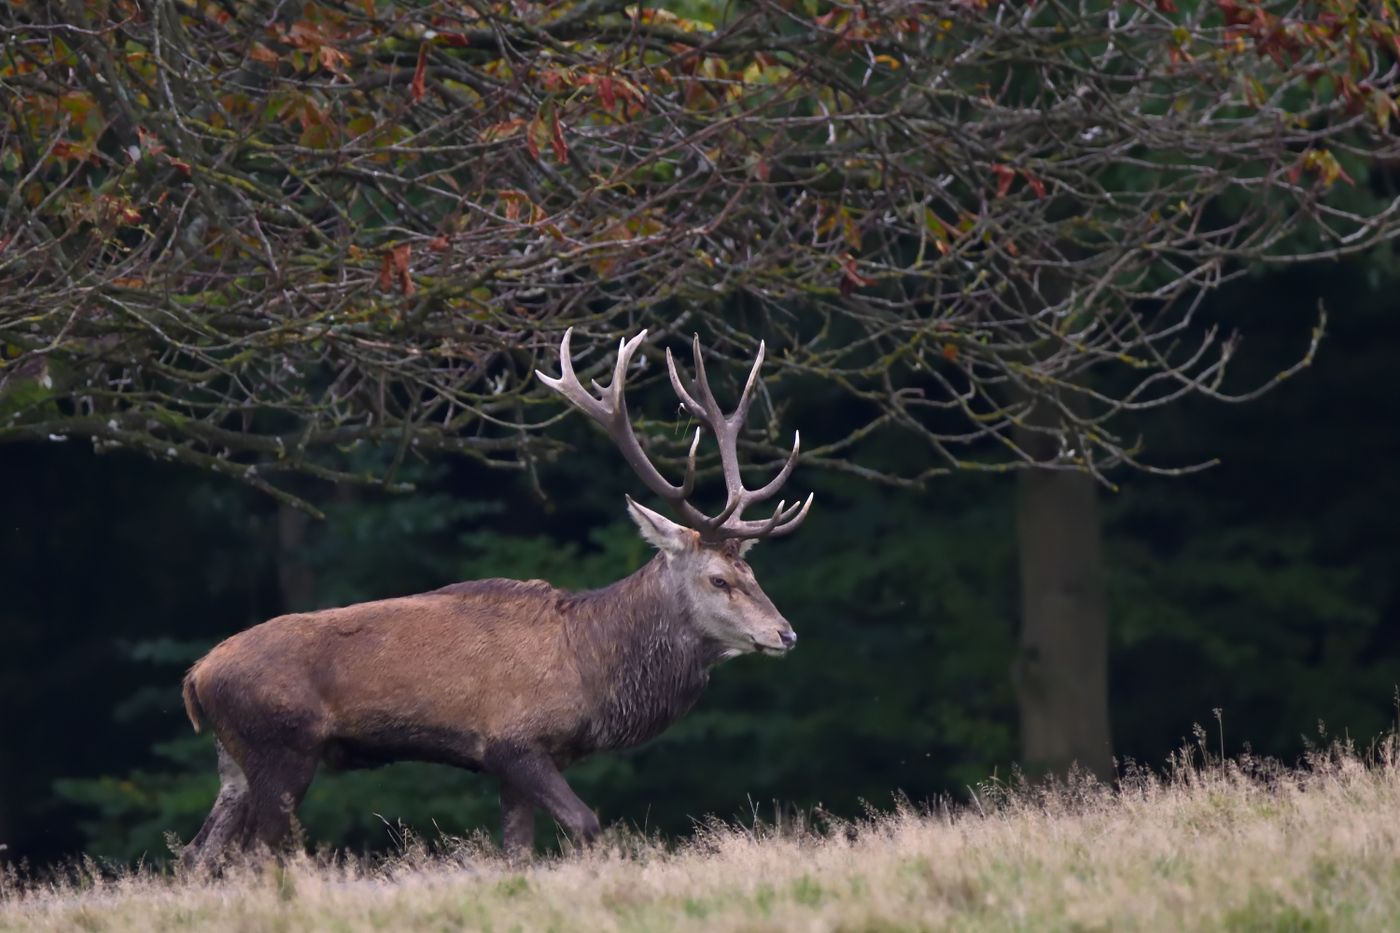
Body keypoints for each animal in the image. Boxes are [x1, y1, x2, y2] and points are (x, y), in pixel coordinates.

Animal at [177, 329, 813, 870]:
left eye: (750, 569)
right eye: (718, 579)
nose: (786, 633)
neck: (591, 669)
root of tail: (197, 677)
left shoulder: (516, 765)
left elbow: (517, 853)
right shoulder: (513, 741)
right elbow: (586, 825)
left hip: (233, 763)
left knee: (198, 854)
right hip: (280, 745)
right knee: (255, 853)